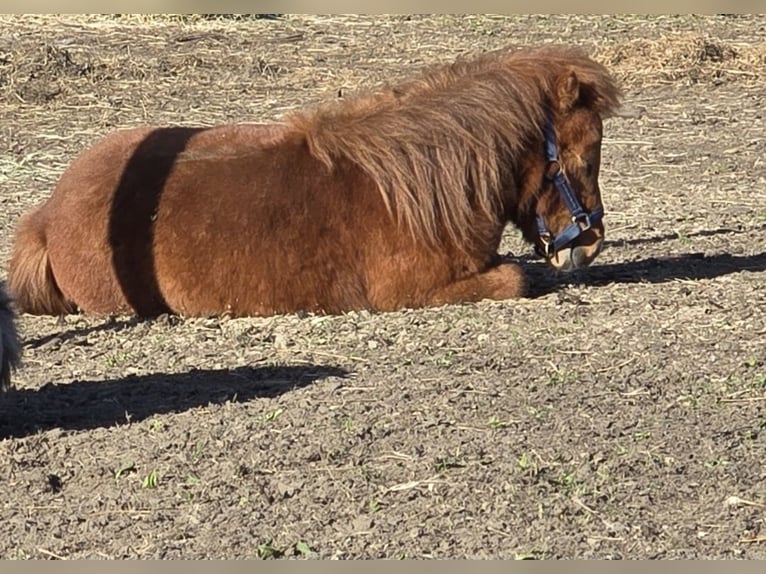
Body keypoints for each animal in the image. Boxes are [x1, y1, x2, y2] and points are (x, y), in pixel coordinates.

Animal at [9, 46, 624, 320]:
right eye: (587, 154)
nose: (591, 245)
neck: (420, 184)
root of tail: (47, 214)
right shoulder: (413, 292)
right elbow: (517, 280)